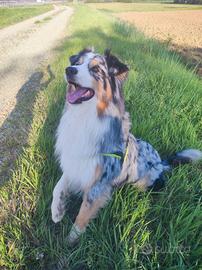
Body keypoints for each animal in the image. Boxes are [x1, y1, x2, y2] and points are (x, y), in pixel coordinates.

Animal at [51, 47, 202, 246]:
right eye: (77, 63)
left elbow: (83, 214)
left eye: (96, 69)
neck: (85, 116)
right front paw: (57, 211)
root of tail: (162, 162)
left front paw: (70, 241)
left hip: (143, 182)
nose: (69, 70)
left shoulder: (99, 183)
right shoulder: (76, 162)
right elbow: (58, 186)